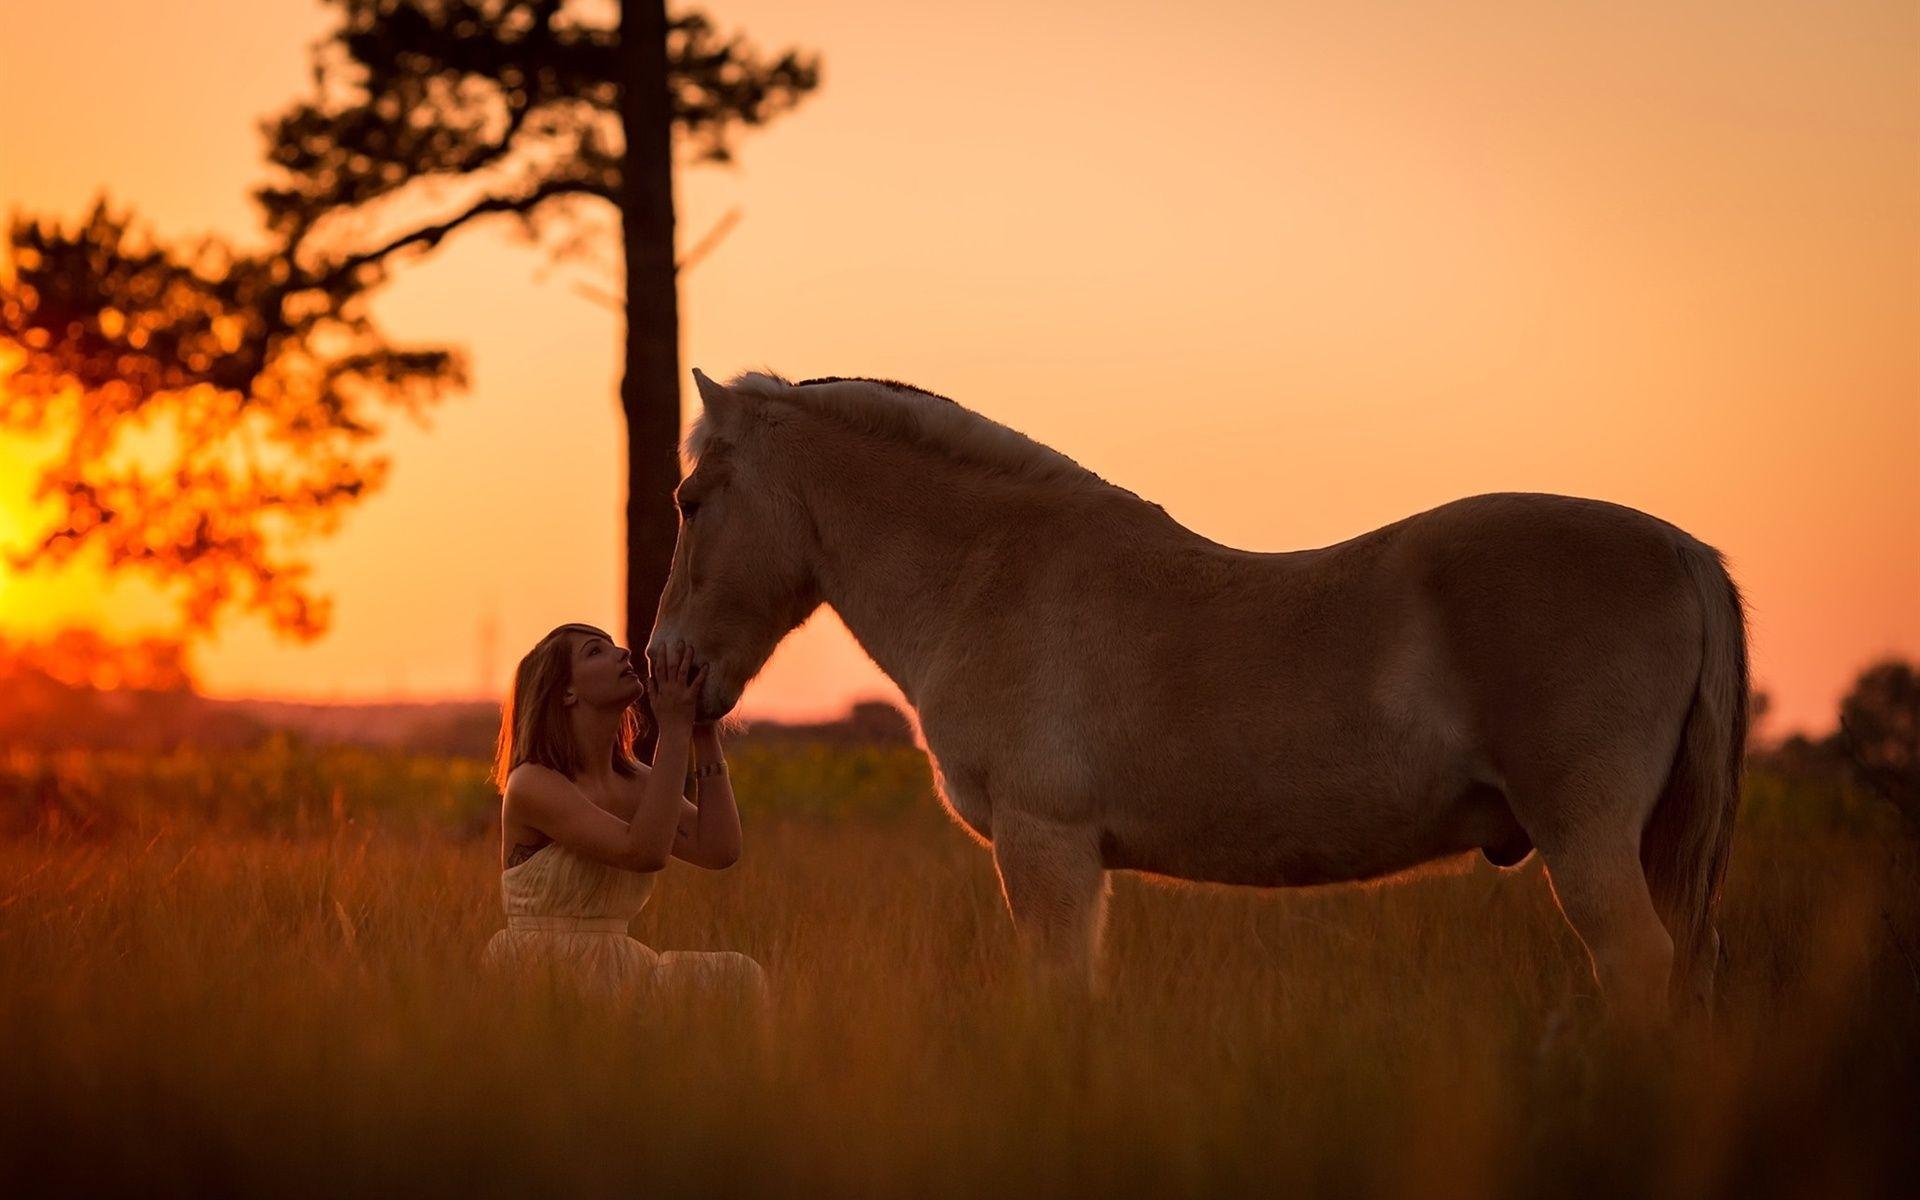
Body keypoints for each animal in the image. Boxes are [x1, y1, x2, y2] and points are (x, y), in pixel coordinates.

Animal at [652, 366, 1751, 1021]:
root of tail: (1680, 549)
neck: (993, 574)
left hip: (1587, 840)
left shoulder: (1046, 848)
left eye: (692, 501)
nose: (670, 665)